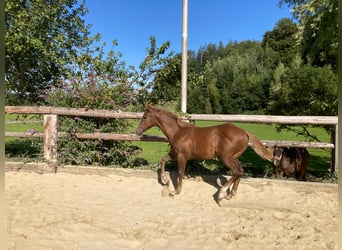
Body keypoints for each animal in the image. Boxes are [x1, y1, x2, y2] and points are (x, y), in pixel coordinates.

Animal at [135, 103, 272, 203]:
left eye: (145, 117)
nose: (137, 131)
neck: (178, 133)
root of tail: (244, 131)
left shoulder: (182, 156)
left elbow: (180, 173)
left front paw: (175, 191)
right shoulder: (174, 154)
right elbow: (163, 160)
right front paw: (165, 181)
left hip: (226, 158)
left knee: (236, 172)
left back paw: (222, 193)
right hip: (234, 158)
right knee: (240, 171)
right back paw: (230, 194)